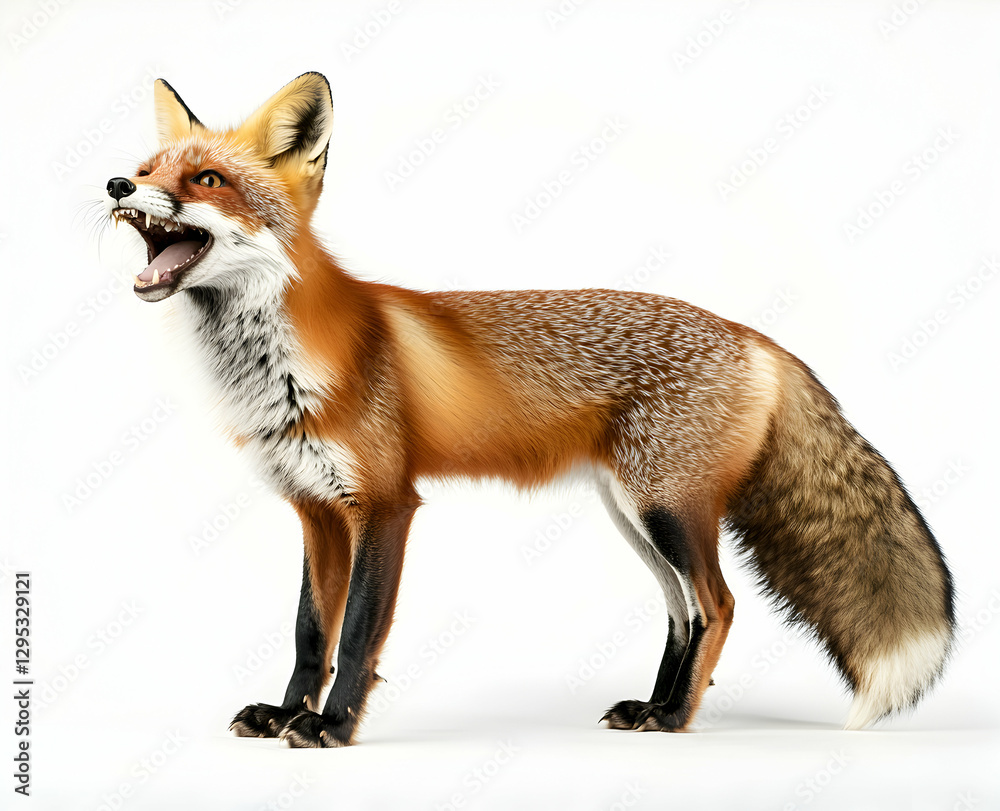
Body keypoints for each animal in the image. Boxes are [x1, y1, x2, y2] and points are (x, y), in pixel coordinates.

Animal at [103, 72, 954, 747]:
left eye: (208, 179)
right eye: (148, 169)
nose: (116, 185)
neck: (278, 366)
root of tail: (753, 335)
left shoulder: (386, 502)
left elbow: (360, 634)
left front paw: (331, 726)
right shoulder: (315, 508)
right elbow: (312, 631)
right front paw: (286, 714)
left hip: (667, 509)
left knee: (719, 604)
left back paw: (678, 720)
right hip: (634, 512)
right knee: (683, 612)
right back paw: (653, 706)